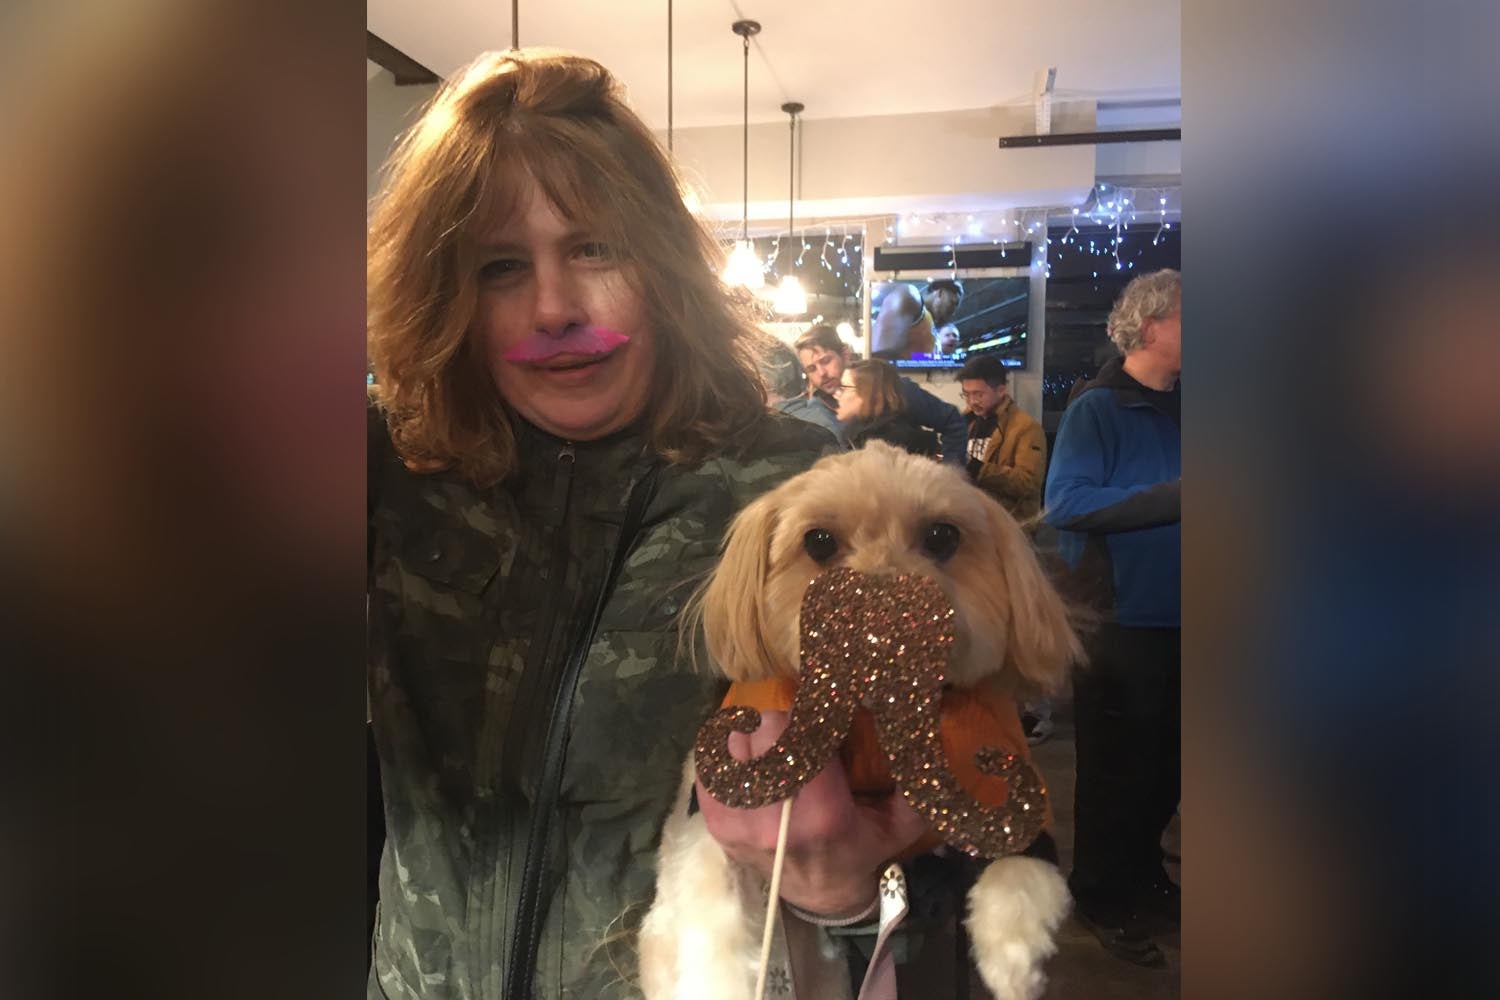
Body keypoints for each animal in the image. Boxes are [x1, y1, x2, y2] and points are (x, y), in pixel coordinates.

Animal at [636, 443, 1080, 1000]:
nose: (882, 602)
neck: (874, 714)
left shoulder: (1007, 795)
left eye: (942, 536)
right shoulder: (712, 816)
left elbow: (1020, 867)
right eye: (819, 541)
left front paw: (1014, 962)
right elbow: (712, 919)